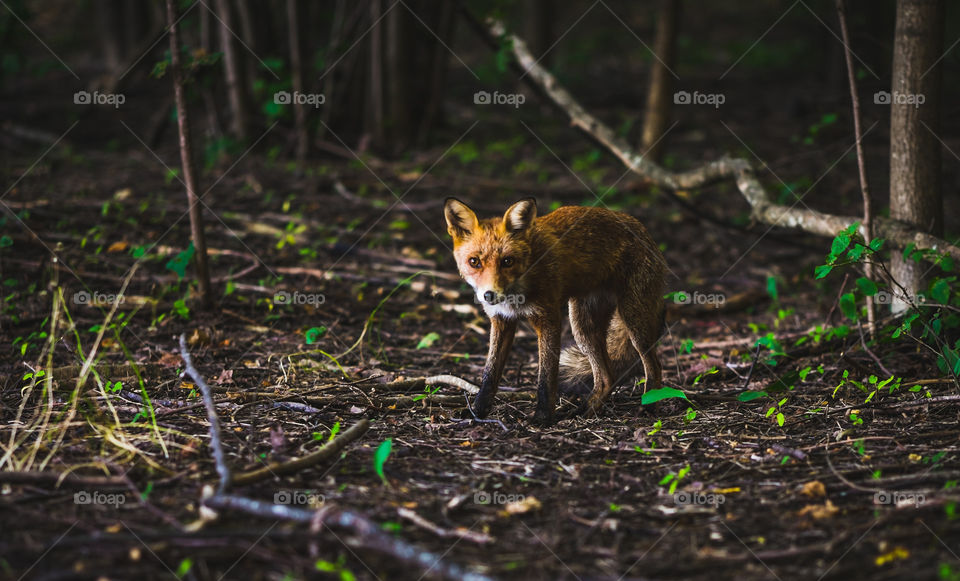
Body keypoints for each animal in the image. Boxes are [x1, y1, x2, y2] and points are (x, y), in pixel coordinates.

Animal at [444, 197, 666, 424]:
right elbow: (489, 374)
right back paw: (586, 411)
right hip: (584, 328)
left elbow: (546, 377)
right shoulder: (501, 321)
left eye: (507, 261)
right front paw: (477, 412)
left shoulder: (548, 320)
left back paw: (648, 408)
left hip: (633, 320)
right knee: (607, 377)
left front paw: (542, 417)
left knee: (654, 366)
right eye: (474, 262)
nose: (490, 295)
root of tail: (643, 229)